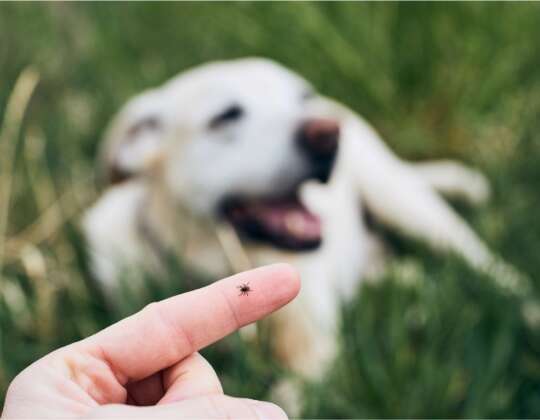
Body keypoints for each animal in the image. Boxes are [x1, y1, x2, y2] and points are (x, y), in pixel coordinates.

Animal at [82, 57, 520, 388]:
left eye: (301, 96)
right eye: (226, 116)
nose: (327, 133)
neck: (218, 262)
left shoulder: (315, 353)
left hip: (405, 202)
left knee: (490, 267)